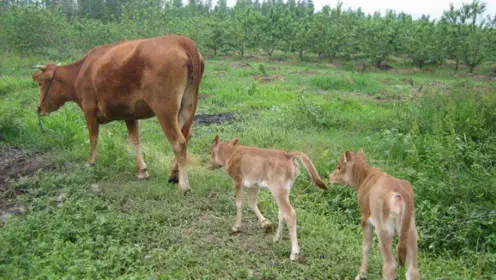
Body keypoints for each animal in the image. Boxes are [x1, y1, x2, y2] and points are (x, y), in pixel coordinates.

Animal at [30, 34, 203, 192]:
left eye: (40, 84)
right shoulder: (130, 115)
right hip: (187, 106)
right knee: (186, 135)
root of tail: (181, 41)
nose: (39, 108)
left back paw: (184, 185)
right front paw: (142, 171)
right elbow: (134, 141)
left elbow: (93, 137)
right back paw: (173, 174)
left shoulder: (89, 108)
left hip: (164, 108)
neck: (82, 71)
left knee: (178, 141)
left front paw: (90, 162)